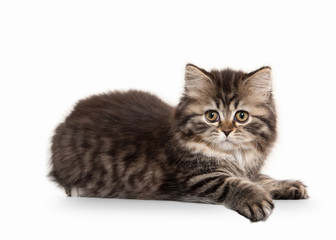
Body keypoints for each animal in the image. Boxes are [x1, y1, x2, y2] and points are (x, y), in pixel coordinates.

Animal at [48, 63, 308, 221]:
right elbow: (230, 182)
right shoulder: (195, 177)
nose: (226, 131)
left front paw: (288, 185)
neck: (233, 156)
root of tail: (70, 116)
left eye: (241, 116)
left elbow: (262, 178)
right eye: (211, 116)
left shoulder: (249, 169)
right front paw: (254, 198)